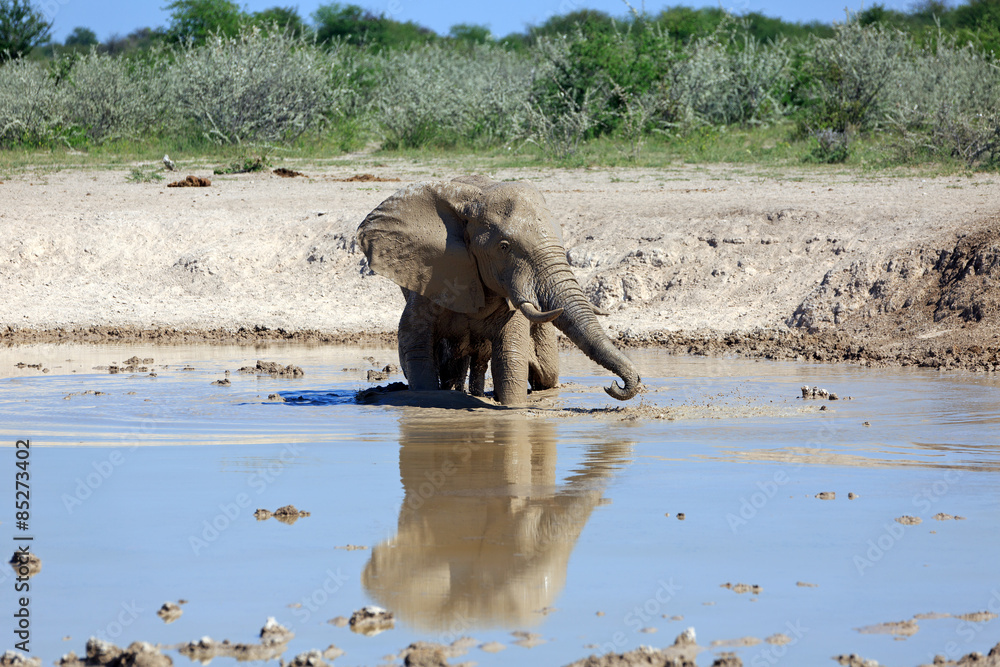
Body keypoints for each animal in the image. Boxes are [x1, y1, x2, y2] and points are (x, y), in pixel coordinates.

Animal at [357, 175, 641, 406]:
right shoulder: (430, 275)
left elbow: (510, 355)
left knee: (543, 373)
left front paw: (511, 409)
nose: (615, 385)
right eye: (504, 247)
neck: (475, 200)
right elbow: (415, 346)